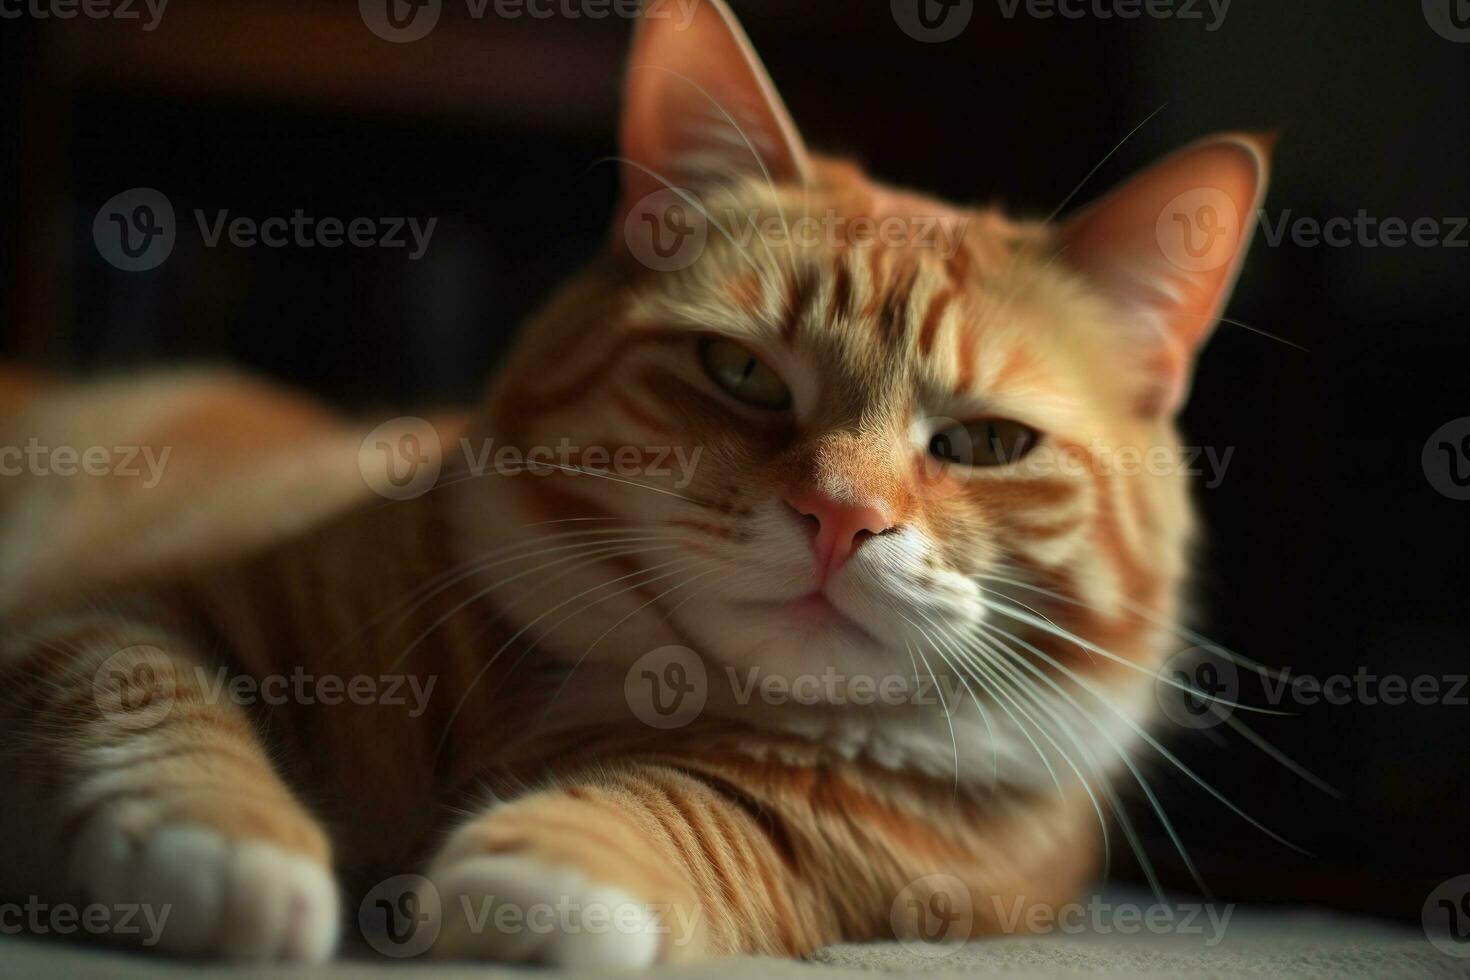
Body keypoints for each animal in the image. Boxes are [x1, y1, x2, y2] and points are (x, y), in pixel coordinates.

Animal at [0, 0, 1264, 963]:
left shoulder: (907, 853)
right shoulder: (130, 609)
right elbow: (142, 686)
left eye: (987, 443)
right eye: (741, 372)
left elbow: (707, 806)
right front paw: (225, 841)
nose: (842, 516)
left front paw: (551, 868)